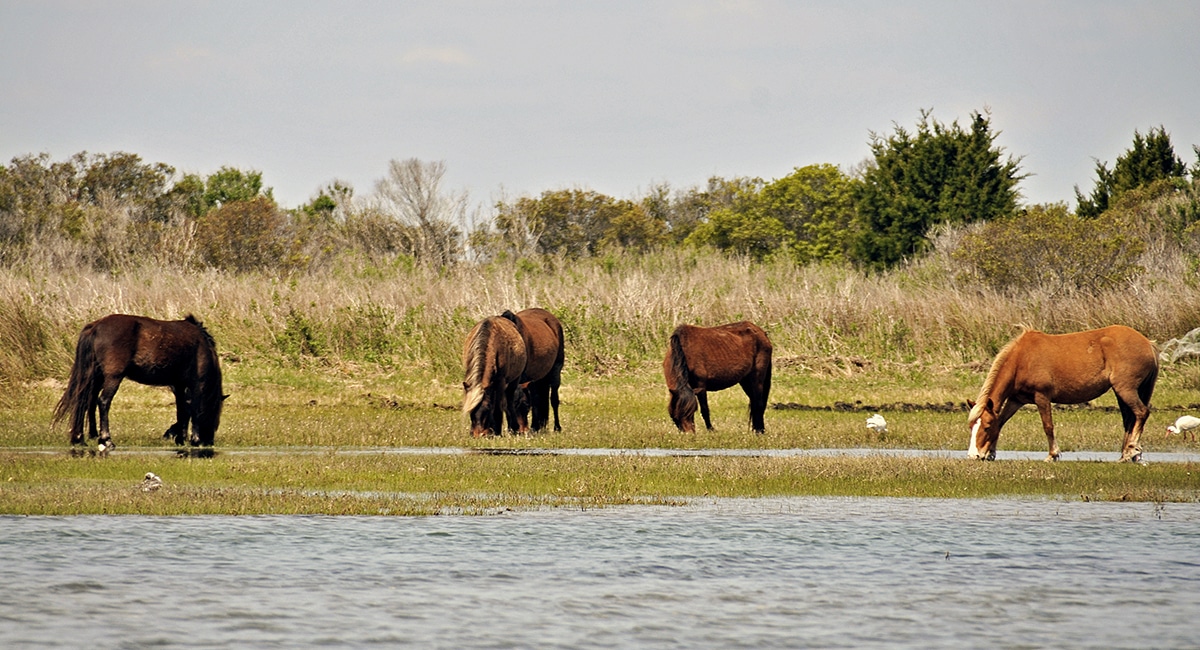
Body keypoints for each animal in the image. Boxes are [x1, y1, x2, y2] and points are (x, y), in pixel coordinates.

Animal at [53, 314, 227, 453]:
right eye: (215, 415)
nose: (209, 441)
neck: (203, 345)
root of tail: (95, 327)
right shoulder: (197, 383)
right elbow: (195, 409)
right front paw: (194, 440)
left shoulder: (178, 385)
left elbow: (183, 410)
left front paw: (180, 438)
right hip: (113, 377)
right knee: (103, 402)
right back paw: (106, 439)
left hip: (95, 377)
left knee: (85, 401)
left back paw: (80, 438)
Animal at [967, 325, 1158, 462]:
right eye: (971, 427)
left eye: (986, 426)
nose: (974, 455)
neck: (1022, 360)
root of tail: (1148, 343)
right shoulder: (1016, 400)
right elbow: (1000, 423)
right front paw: (991, 453)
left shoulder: (1042, 397)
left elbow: (1048, 426)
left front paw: (1052, 455)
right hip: (1122, 392)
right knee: (1129, 419)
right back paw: (1127, 454)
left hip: (1125, 389)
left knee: (1141, 413)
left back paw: (1131, 450)